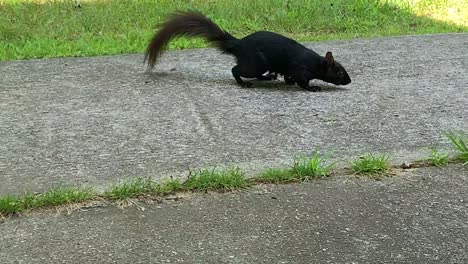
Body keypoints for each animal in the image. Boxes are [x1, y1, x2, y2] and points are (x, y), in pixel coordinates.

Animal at [145, 10, 352, 92]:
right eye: (340, 72)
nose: (349, 81)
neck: (314, 61)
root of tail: (239, 45)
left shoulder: (291, 69)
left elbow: (288, 76)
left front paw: (288, 81)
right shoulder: (300, 69)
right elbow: (302, 81)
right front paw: (313, 88)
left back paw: (268, 77)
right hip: (255, 63)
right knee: (236, 70)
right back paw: (244, 83)